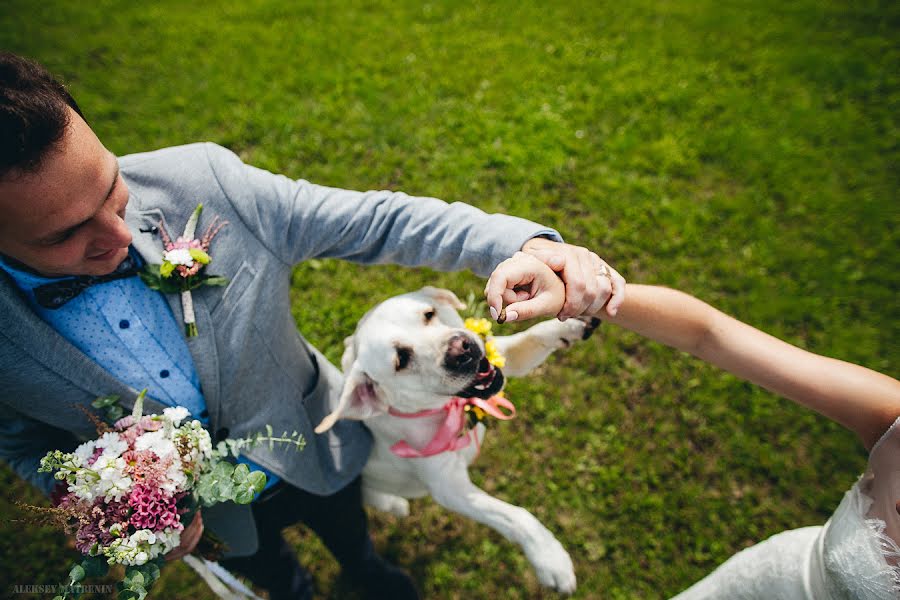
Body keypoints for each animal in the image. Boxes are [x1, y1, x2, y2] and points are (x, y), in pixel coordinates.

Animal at [316, 288, 596, 596]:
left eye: (429, 314)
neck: (444, 408)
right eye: (401, 360)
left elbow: (528, 337)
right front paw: (549, 557)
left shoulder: (500, 354)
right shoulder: (451, 489)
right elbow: (515, 516)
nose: (460, 350)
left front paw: (568, 325)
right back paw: (392, 504)